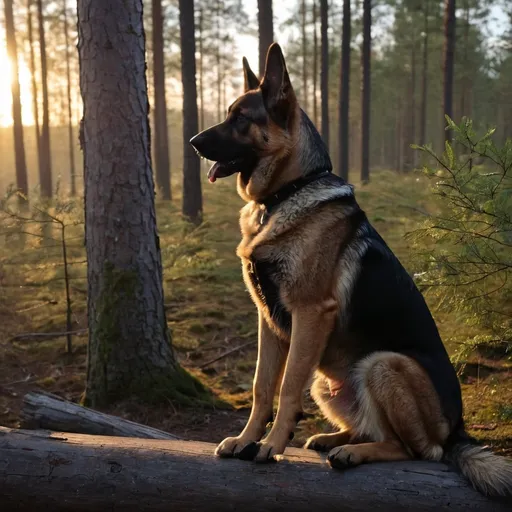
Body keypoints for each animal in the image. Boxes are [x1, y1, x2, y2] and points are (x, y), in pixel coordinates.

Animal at [190, 44, 512, 496]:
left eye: (240, 119)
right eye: (229, 113)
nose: (193, 142)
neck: (283, 195)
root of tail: (458, 431)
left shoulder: (310, 313)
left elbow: (286, 386)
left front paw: (271, 445)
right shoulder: (268, 321)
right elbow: (261, 386)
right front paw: (246, 438)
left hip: (382, 364)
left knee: (417, 450)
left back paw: (353, 453)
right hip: (327, 382)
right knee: (372, 428)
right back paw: (334, 438)